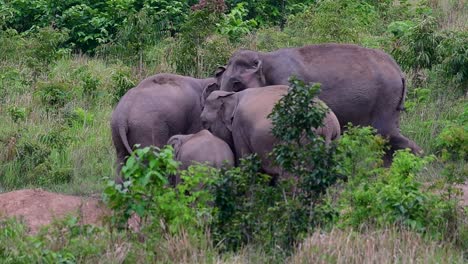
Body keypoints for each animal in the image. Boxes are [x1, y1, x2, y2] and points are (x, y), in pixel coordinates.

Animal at [200, 85, 340, 178]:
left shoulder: (239, 127)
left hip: (301, 141)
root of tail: (329, 125)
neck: (233, 94)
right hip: (334, 139)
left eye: (204, 122)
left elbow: (246, 163)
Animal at [218, 43, 422, 157]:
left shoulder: (287, 82)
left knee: (386, 135)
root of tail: (399, 71)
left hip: (385, 100)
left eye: (236, 84)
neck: (264, 56)